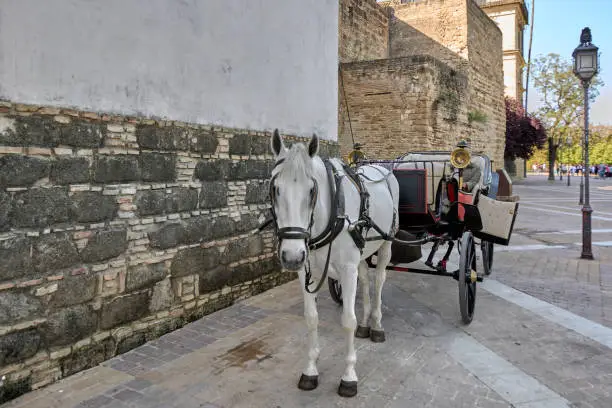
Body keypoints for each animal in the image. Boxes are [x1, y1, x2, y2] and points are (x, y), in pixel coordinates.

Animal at [266, 129, 400, 396]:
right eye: (275, 188)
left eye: (311, 191)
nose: (292, 256)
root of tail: (380, 167)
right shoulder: (307, 272)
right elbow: (311, 318)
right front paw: (310, 369)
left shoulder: (346, 269)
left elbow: (348, 321)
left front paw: (349, 376)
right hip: (361, 252)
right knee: (365, 279)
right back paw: (366, 323)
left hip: (386, 243)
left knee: (379, 280)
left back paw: (377, 325)